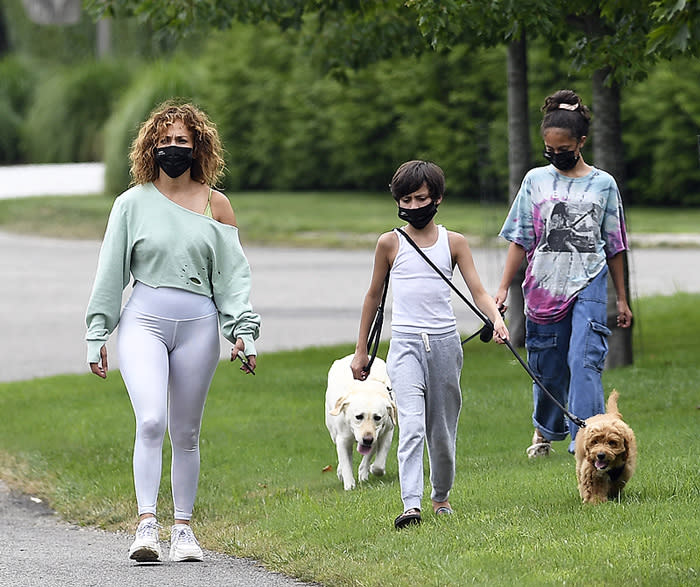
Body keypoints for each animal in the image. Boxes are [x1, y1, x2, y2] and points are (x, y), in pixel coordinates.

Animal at [326, 354, 396, 492]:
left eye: (377, 417)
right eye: (358, 417)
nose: (367, 439)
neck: (367, 387)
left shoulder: (386, 432)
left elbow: (379, 464)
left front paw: (372, 469)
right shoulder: (342, 438)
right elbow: (345, 461)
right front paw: (349, 484)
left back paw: (363, 472)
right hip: (333, 431)